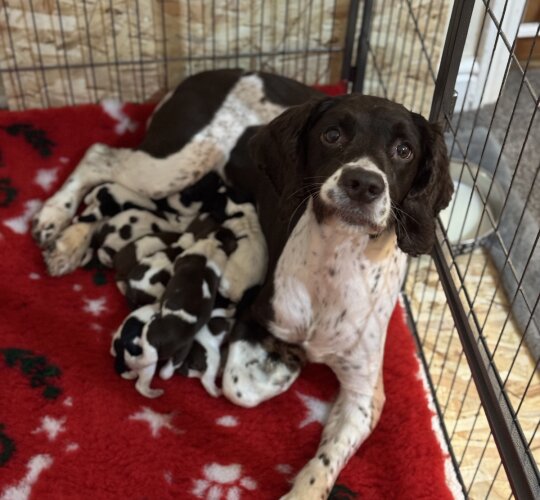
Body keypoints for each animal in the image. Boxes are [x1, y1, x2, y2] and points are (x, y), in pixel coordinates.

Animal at [29, 68, 452, 498]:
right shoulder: (253, 317)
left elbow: (324, 462)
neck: (337, 260)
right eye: (332, 135)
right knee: (100, 156)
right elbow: (241, 387)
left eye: (404, 150)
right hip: (171, 165)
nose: (363, 183)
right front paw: (287, 363)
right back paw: (58, 223)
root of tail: (216, 73)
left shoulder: (364, 395)